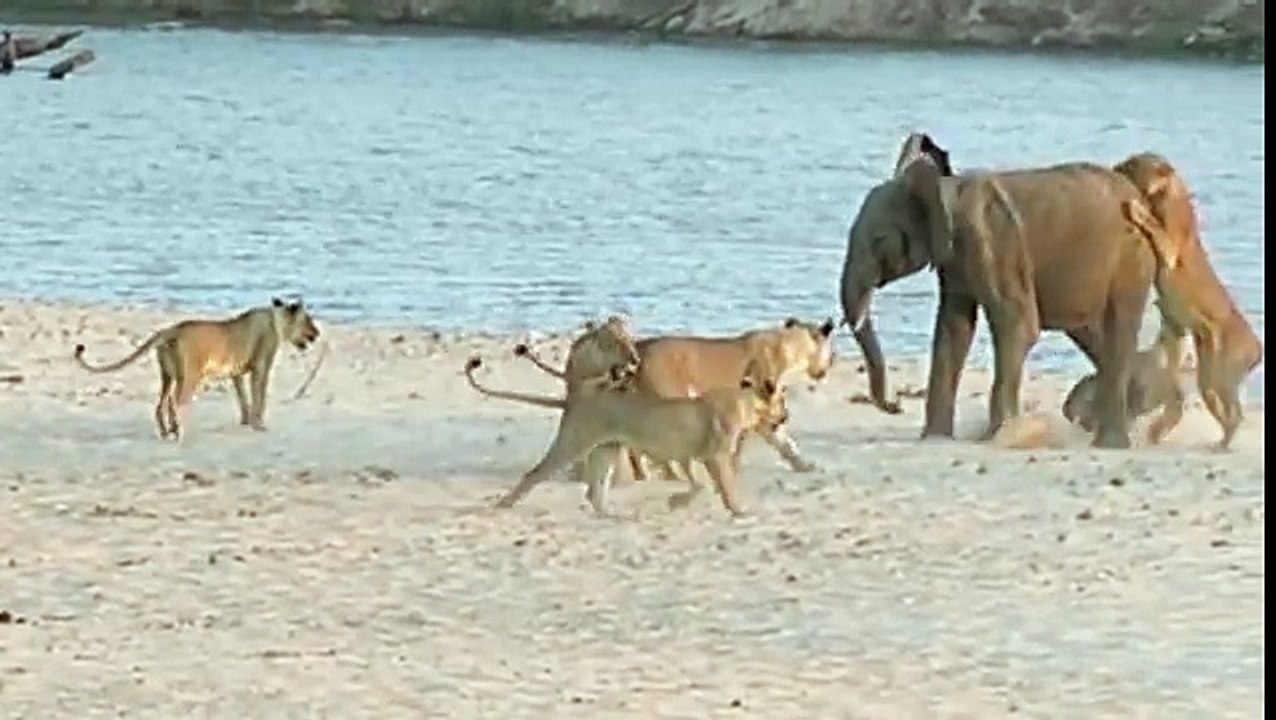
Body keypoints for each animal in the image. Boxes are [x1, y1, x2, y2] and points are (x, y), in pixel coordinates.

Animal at [73, 298, 320, 440]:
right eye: (308, 319)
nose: (317, 333)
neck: (276, 320)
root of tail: (170, 330)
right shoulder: (261, 367)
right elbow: (260, 397)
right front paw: (259, 424)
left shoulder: (237, 373)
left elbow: (243, 399)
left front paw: (246, 422)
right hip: (190, 376)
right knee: (174, 402)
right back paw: (177, 430)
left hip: (167, 376)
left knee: (160, 404)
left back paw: (165, 432)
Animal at [474, 356, 790, 517]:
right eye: (782, 403)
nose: (786, 417)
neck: (745, 402)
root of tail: (577, 397)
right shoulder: (715, 456)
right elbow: (723, 487)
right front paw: (739, 511)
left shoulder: (691, 456)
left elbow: (699, 485)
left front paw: (677, 502)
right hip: (574, 444)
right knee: (534, 474)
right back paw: (503, 506)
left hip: (607, 449)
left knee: (594, 492)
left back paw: (611, 514)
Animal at [517, 317, 836, 481]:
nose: (828, 367)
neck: (789, 345)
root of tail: (637, 354)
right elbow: (777, 439)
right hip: (669, 401)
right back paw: (668, 474)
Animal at [839, 134, 1162, 448]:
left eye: (879, 240)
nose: (895, 406)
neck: (946, 189)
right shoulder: (955, 263)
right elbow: (953, 330)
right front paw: (935, 439)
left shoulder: (995, 242)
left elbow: (1018, 324)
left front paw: (996, 437)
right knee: (1091, 334)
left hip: (1132, 259)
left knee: (1116, 328)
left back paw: (1111, 443)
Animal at [1112, 153, 1263, 449]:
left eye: (1133, 163)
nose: (1116, 167)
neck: (1168, 194)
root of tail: (1258, 347)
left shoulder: (1171, 248)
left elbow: (1154, 226)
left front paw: (1136, 208)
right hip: (1208, 380)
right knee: (1225, 414)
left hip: (1221, 375)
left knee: (1236, 414)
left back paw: (1221, 445)